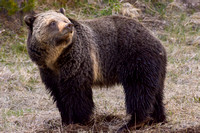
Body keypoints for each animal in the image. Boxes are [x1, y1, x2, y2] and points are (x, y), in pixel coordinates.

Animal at [23, 8, 167, 130]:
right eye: (52, 22)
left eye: (64, 19)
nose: (68, 26)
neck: (56, 58)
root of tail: (156, 40)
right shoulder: (49, 72)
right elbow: (58, 95)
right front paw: (65, 120)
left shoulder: (77, 62)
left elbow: (77, 93)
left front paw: (78, 120)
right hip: (154, 67)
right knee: (155, 92)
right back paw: (156, 118)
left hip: (136, 59)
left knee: (138, 90)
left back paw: (133, 123)